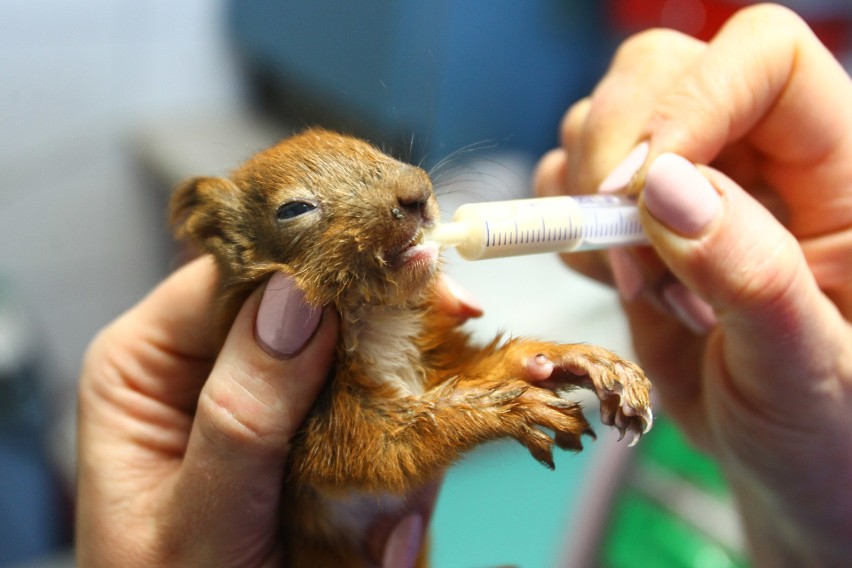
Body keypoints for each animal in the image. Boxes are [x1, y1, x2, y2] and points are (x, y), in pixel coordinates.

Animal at [171, 129, 652, 568]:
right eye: (293, 210)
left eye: (373, 148)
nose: (416, 195)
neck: (382, 325)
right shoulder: (321, 435)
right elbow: (383, 446)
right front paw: (504, 409)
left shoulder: (434, 358)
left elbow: (489, 366)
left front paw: (579, 361)